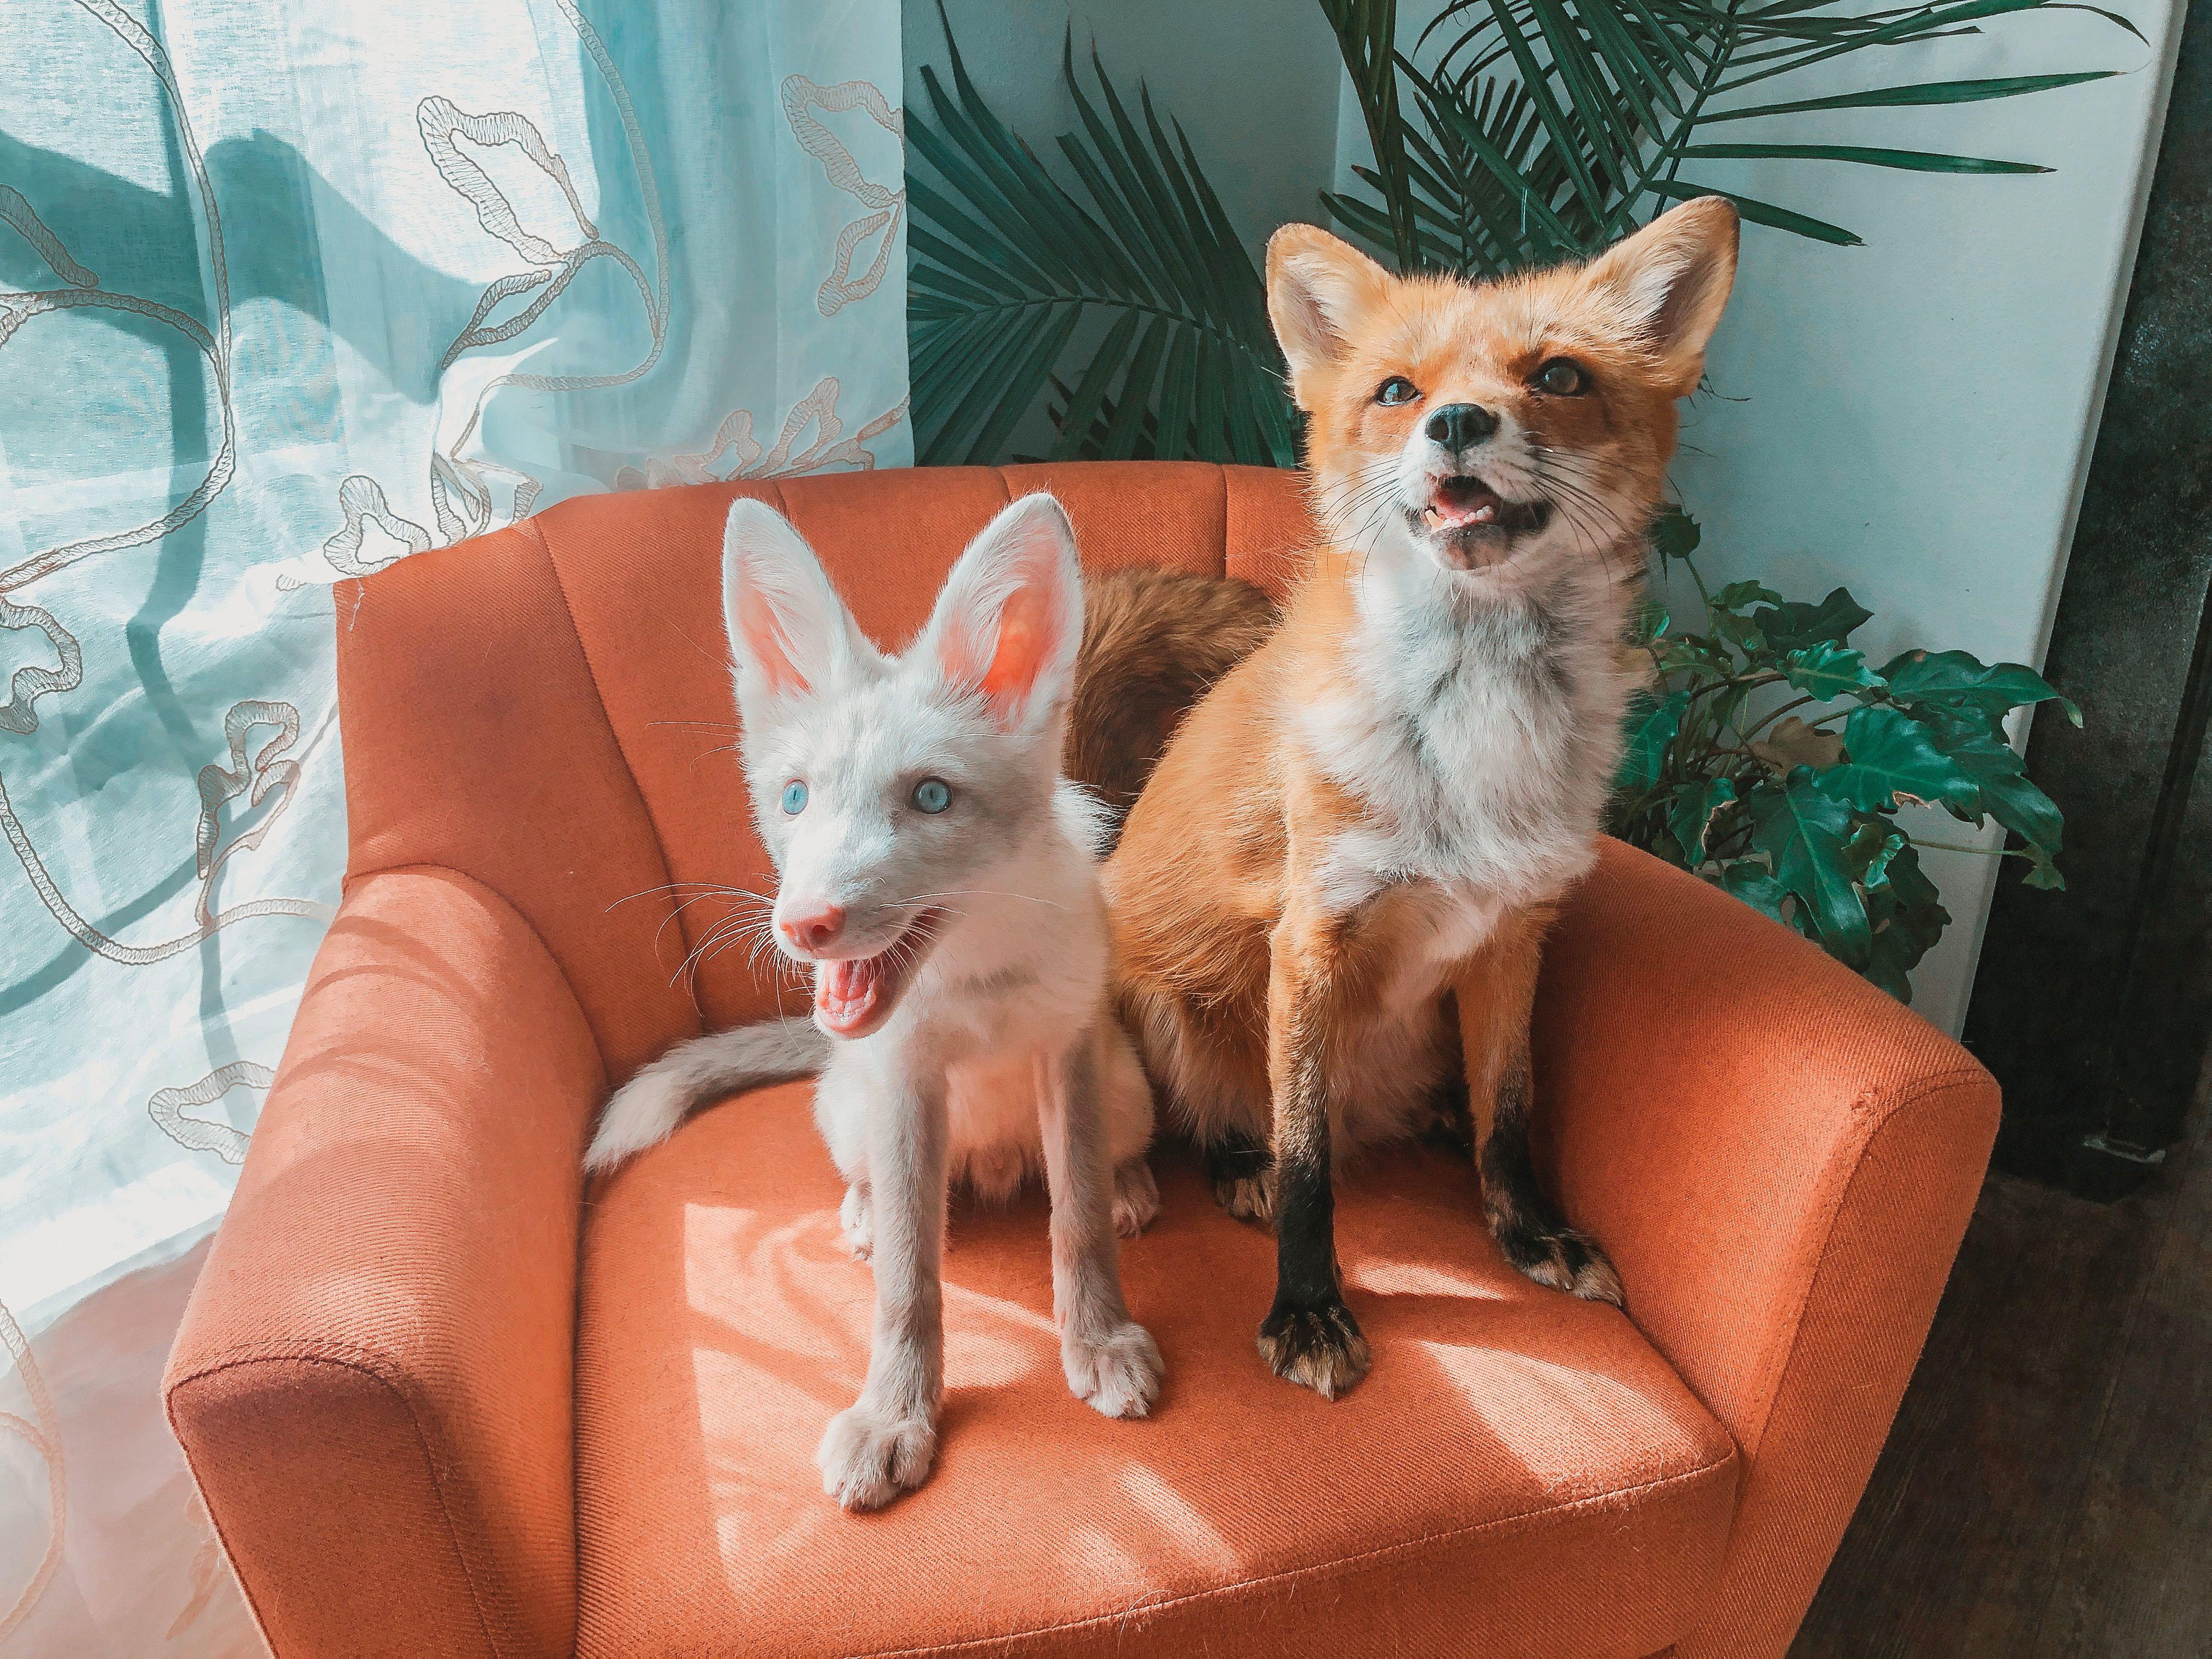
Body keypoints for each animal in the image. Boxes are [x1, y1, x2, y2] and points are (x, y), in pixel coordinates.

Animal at [583, 492, 1171, 1512]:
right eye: (794, 799)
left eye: (931, 797)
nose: (804, 925)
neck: (974, 984)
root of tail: (994, 1163)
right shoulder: (905, 1084)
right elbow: (908, 1280)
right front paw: (895, 1416)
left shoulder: (1066, 1053)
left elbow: (1080, 1222)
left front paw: (1098, 1339)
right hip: (851, 1112)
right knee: (877, 1195)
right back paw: (861, 1212)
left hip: (1125, 1085)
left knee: (1098, 1167)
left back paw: (1129, 1182)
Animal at [1104, 196, 1742, 1399]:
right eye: (1398, 390)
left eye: (1559, 375)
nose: (1455, 423)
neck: (1476, 734)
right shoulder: (1311, 939)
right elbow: (1310, 1161)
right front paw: (1308, 1307)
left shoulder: (1513, 932)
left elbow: (1512, 1111)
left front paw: (1526, 1231)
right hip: (1157, 999)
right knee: (1227, 1120)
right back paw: (1233, 1162)